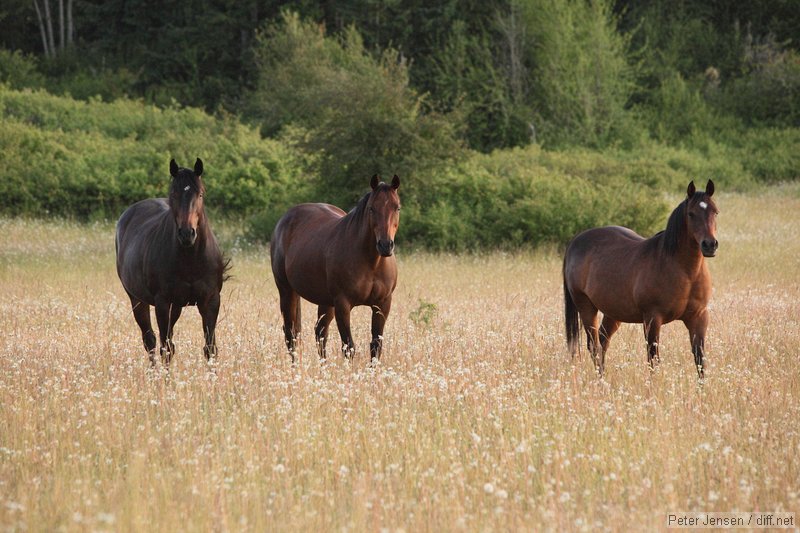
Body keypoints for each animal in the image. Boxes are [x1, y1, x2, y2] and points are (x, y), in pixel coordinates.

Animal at [115, 158, 228, 366]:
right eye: (174, 194)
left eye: (200, 194)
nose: (187, 233)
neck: (190, 259)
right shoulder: (162, 302)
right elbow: (165, 348)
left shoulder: (210, 300)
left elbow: (210, 348)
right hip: (137, 300)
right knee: (150, 340)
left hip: (176, 306)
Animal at [272, 175, 404, 362]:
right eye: (371, 208)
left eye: (397, 207)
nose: (385, 245)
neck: (372, 263)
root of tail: (285, 219)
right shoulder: (343, 304)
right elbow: (348, 347)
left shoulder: (382, 304)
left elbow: (375, 347)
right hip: (286, 291)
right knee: (291, 335)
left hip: (325, 301)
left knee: (320, 333)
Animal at [564, 181, 720, 376]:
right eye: (691, 214)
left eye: (715, 212)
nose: (710, 245)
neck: (685, 272)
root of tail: (574, 242)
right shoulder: (653, 319)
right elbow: (653, 359)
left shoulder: (698, 317)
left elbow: (699, 360)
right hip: (586, 307)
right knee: (593, 345)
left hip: (613, 313)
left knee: (602, 342)